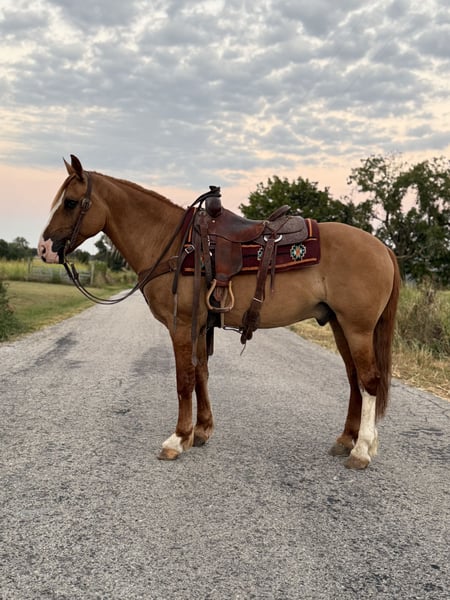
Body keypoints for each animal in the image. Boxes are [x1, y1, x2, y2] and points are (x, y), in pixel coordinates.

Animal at [38, 155, 400, 469]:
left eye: (70, 203)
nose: (44, 249)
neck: (174, 245)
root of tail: (382, 247)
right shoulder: (199, 326)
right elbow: (201, 374)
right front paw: (200, 432)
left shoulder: (181, 325)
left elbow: (184, 379)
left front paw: (177, 439)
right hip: (340, 325)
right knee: (354, 379)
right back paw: (346, 440)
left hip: (357, 328)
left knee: (369, 381)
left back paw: (362, 450)